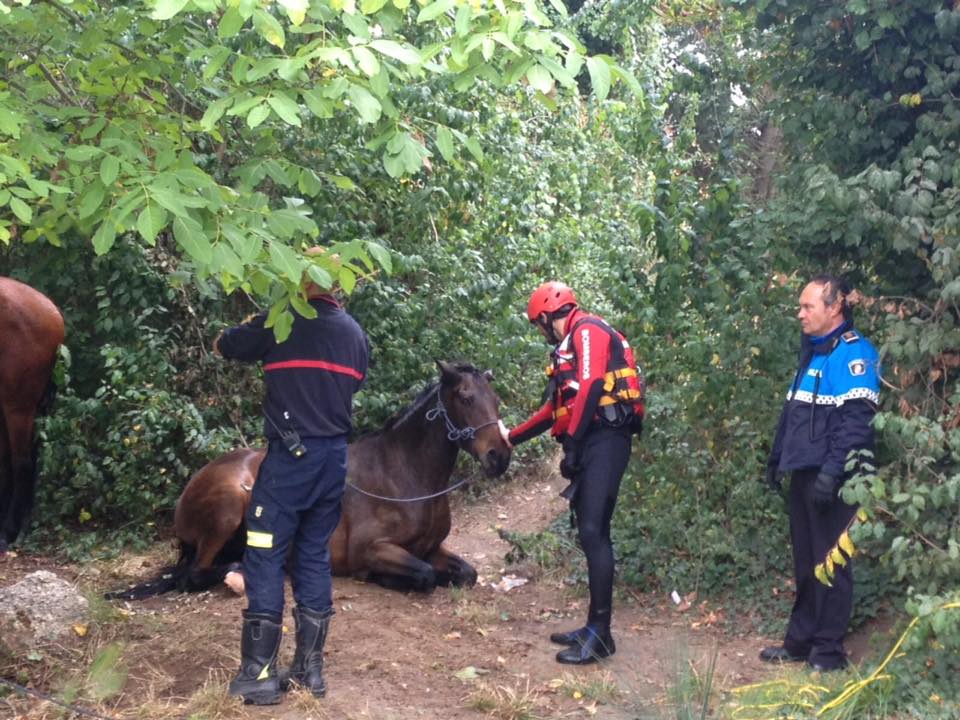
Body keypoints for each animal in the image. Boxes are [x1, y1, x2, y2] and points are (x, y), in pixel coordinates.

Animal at [106, 360, 512, 599]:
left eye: (495, 399)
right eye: (464, 397)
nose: (500, 457)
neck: (406, 475)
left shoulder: (432, 547)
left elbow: (467, 573)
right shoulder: (373, 549)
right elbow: (424, 575)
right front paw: (383, 578)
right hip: (228, 507)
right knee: (194, 575)